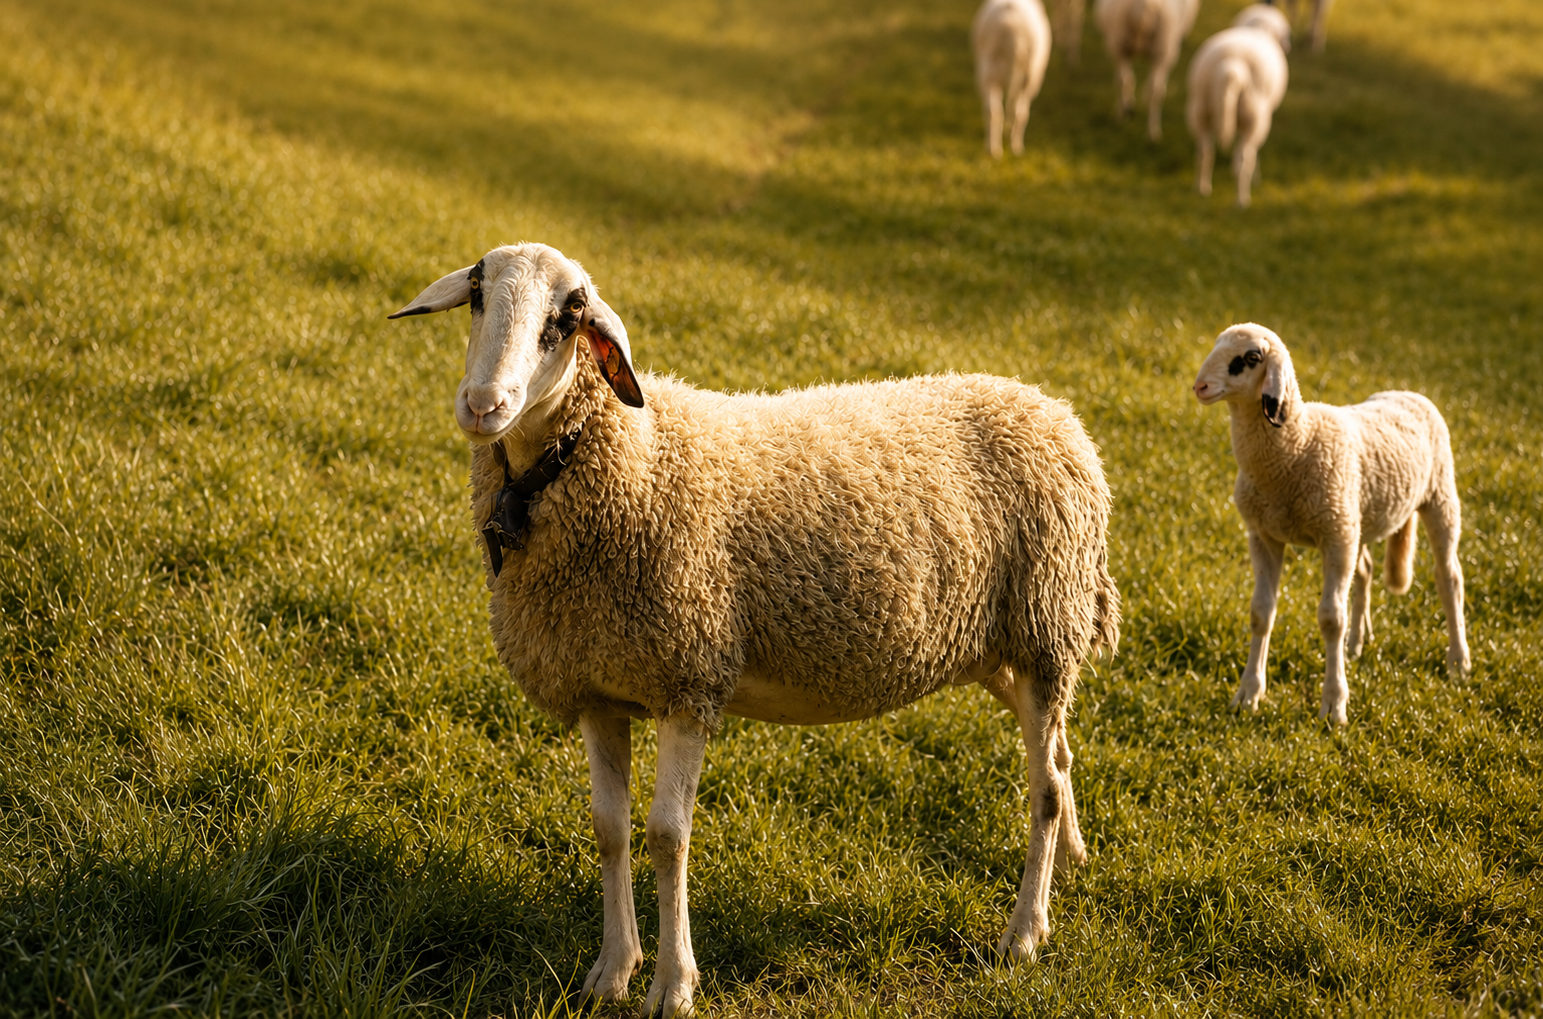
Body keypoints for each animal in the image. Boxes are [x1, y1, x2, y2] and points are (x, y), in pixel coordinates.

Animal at [389, 242, 1121, 1017]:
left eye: (568, 317)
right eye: (477, 294)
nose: (482, 406)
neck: (625, 451)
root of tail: (1053, 409)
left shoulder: (689, 676)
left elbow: (666, 835)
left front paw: (671, 985)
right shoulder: (597, 687)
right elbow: (609, 829)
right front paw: (612, 969)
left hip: (1046, 624)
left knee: (1044, 785)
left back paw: (1025, 931)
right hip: (1003, 648)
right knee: (1060, 756)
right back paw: (1071, 857)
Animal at [972, 0, 1054, 158]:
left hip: (990, 72)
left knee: (994, 111)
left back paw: (994, 150)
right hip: (1028, 76)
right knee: (1019, 112)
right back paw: (1014, 147)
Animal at [1094, 0, 1201, 140]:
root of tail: (1144, 7)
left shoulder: (1113, 48)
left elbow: (1121, 79)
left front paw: (1128, 105)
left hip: (1120, 45)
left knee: (1125, 81)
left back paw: (1124, 115)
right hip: (1161, 51)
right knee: (1154, 90)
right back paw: (1152, 133)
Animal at [1186, 4, 1291, 207]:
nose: (1288, 46)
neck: (1260, 28)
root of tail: (1230, 68)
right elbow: (1254, 153)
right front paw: (1257, 177)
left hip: (1200, 110)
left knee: (1204, 152)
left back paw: (1201, 189)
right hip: (1253, 116)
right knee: (1242, 160)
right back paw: (1242, 201)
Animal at [1191, 323, 1471, 726]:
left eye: (1251, 357)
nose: (1200, 386)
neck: (1297, 440)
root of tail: (1407, 391)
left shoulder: (1336, 537)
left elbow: (1329, 619)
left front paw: (1334, 705)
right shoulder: (1265, 535)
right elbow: (1261, 612)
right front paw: (1248, 694)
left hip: (1439, 497)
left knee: (1449, 577)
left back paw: (1458, 661)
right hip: (1359, 516)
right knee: (1366, 569)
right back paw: (1356, 643)